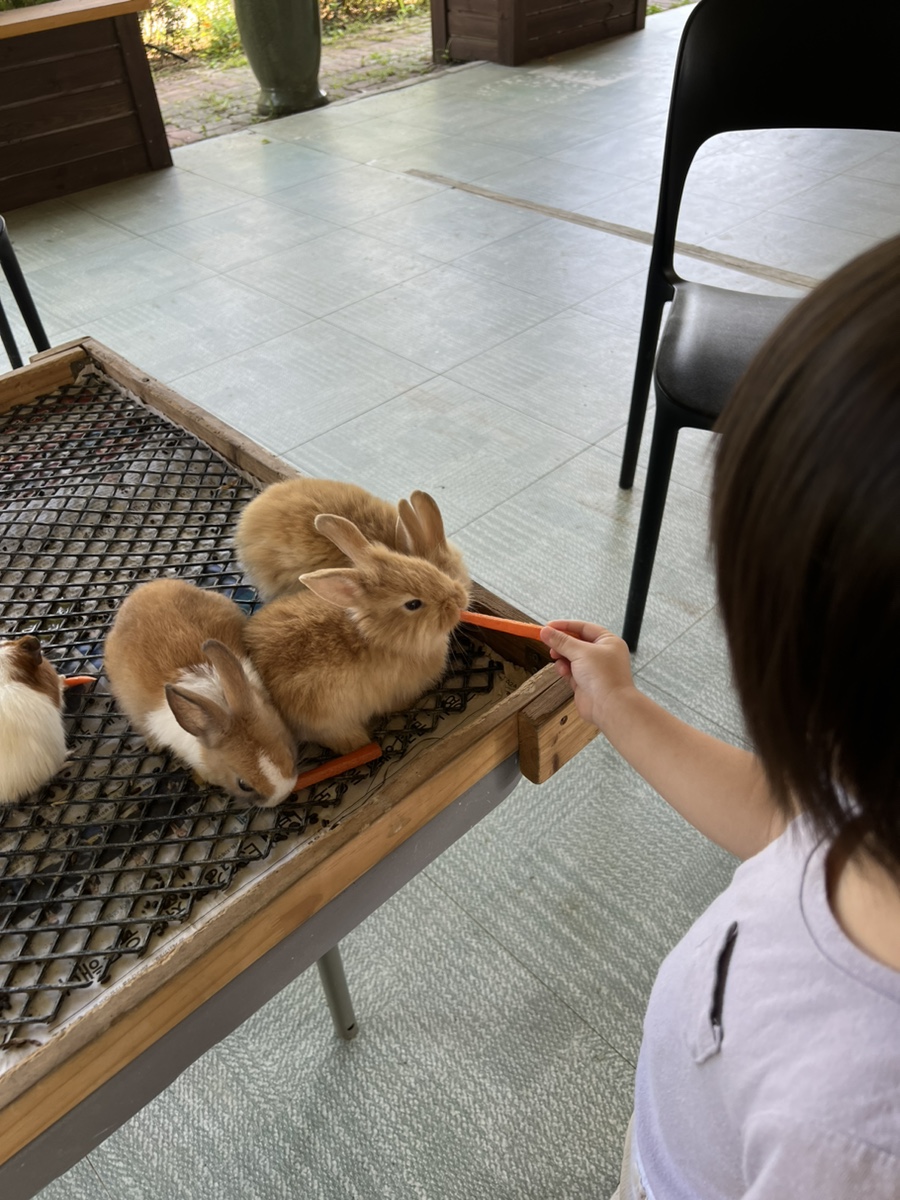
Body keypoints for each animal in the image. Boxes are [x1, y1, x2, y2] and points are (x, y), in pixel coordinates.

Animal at [243, 511, 468, 753]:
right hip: (324, 717)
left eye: (424, 565)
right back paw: (359, 740)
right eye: (413, 604)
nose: (459, 599)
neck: (381, 637)